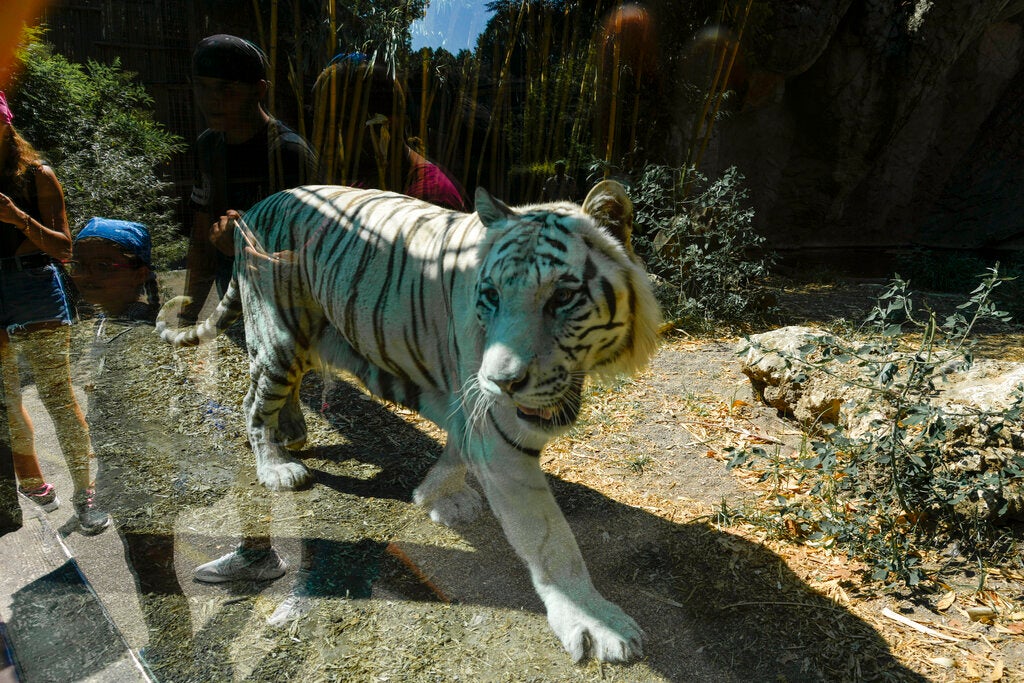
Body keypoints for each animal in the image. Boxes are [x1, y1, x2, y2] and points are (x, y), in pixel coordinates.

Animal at [156, 179, 661, 662]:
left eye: (563, 296)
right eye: (492, 295)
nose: (503, 382)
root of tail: (258, 205)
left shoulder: (473, 403)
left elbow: (456, 452)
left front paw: (438, 495)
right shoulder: (497, 426)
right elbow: (550, 538)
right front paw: (596, 622)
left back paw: (294, 432)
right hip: (278, 332)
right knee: (252, 401)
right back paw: (276, 465)